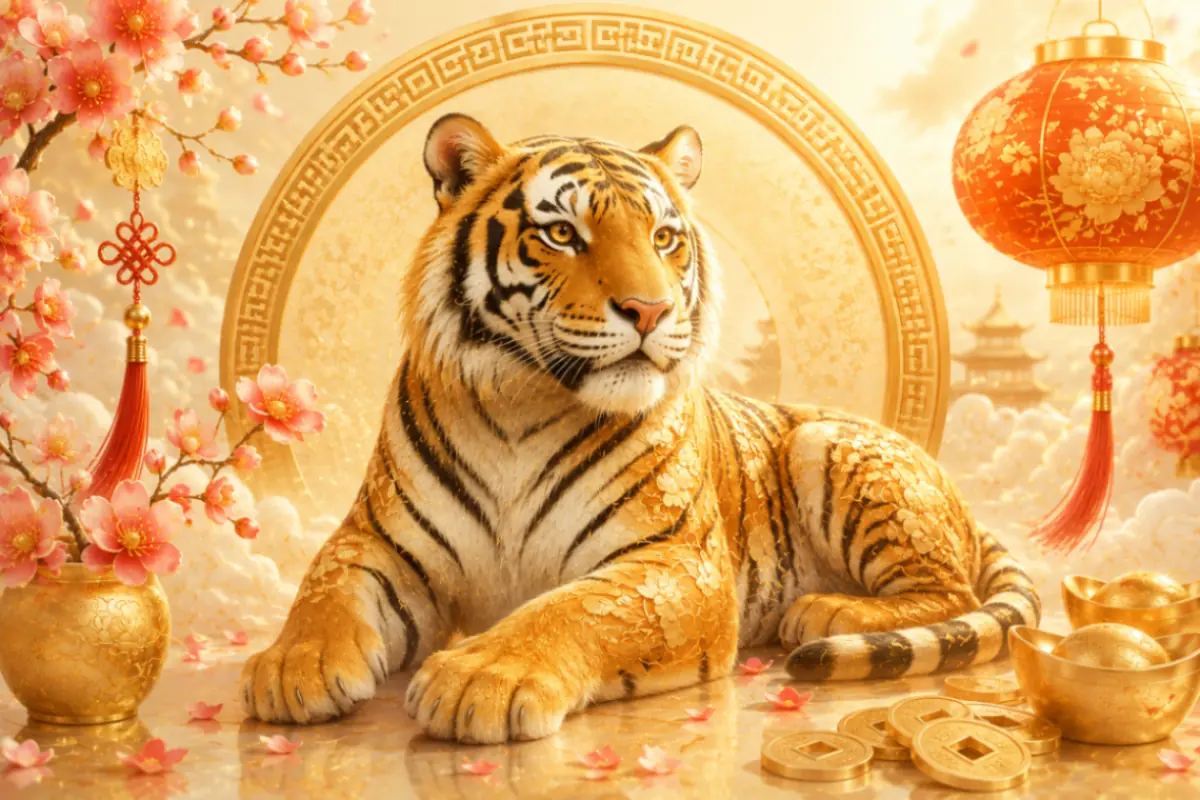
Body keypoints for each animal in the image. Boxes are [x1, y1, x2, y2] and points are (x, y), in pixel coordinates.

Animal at [241, 114, 1041, 743]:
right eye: (561, 233)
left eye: (664, 238)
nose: (651, 311)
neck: (519, 405)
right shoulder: (377, 540)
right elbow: (324, 588)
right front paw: (290, 666)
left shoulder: (674, 561)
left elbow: (572, 609)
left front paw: (481, 676)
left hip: (830, 446)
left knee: (954, 593)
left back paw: (827, 611)